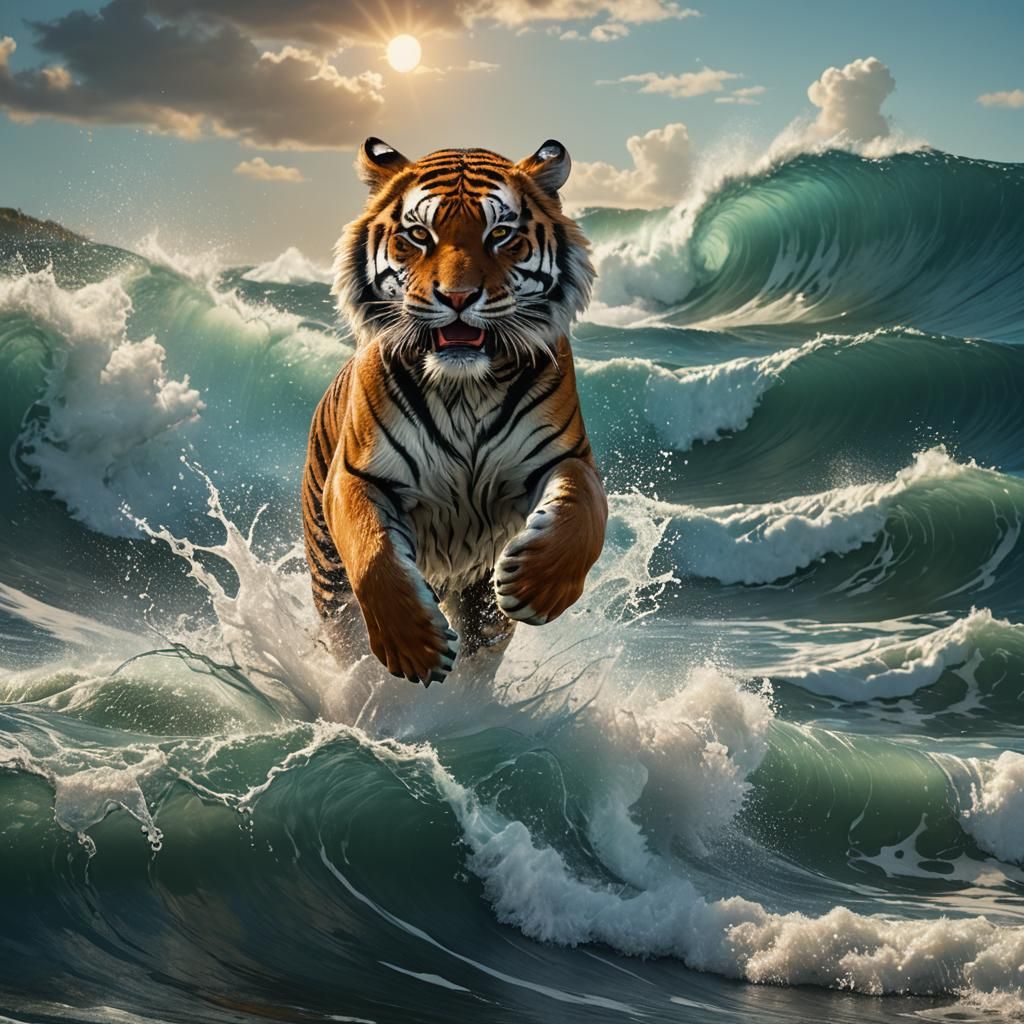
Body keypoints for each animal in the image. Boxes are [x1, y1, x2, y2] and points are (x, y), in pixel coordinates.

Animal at [302, 137, 608, 686]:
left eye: (500, 234)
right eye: (419, 235)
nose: (459, 297)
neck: (463, 388)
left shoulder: (565, 457)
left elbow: (582, 510)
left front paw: (536, 586)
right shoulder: (356, 475)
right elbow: (372, 552)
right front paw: (415, 649)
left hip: (480, 598)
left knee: (482, 644)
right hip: (328, 577)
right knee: (346, 630)